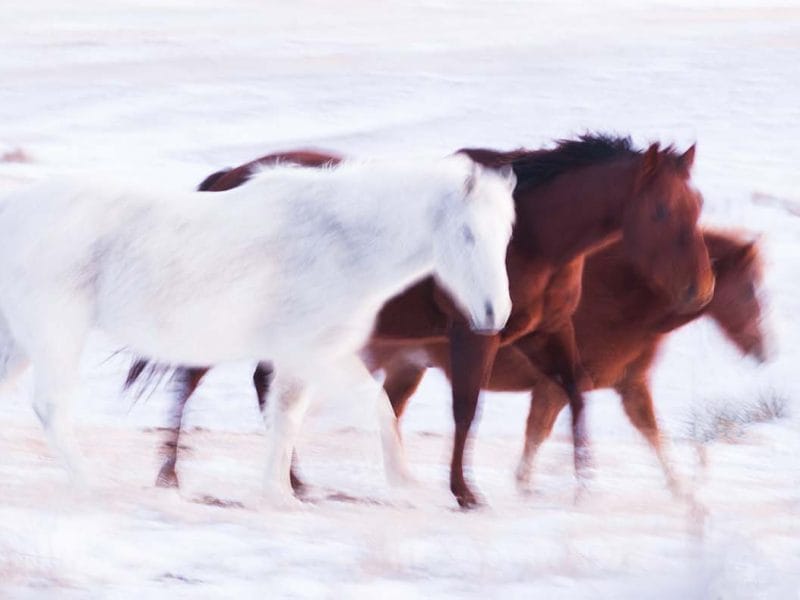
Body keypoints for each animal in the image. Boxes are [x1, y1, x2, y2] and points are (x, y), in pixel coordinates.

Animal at [0, 154, 512, 502]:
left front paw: (281, 492)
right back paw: (89, 482)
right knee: (52, 406)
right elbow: (362, 408)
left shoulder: (308, 356)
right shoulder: (312, 353)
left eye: (507, 233)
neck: (337, 241)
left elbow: (294, 417)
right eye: (468, 234)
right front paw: (399, 480)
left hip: (21, 341)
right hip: (57, 334)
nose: (495, 314)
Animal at [130, 135, 712, 506]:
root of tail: (231, 177)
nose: (701, 289)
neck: (529, 236)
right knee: (191, 379)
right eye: (662, 211)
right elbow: (466, 409)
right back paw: (170, 473)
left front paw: (579, 481)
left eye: (698, 203)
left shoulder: (547, 333)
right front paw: (464, 491)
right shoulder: (475, 333)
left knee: (264, 383)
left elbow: (574, 395)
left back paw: (296, 482)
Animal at [368, 230, 764, 496]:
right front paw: (528, 484)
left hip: (408, 369)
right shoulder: (555, 387)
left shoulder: (630, 386)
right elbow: (538, 434)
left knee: (390, 412)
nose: (763, 349)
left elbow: (652, 433)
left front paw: (680, 487)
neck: (620, 299)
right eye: (749, 289)